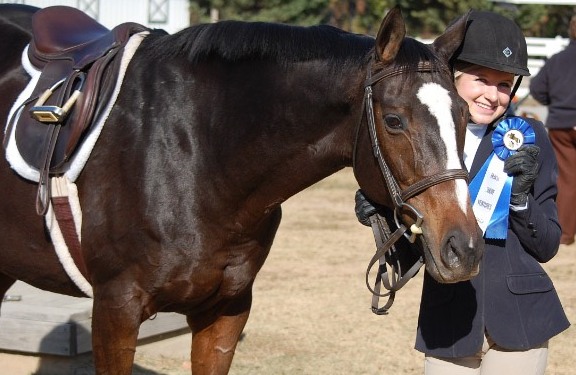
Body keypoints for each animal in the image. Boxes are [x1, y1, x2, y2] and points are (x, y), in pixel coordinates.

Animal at [0, 3, 484, 375]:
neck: (196, 150)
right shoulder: (116, 308)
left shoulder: (226, 310)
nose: (464, 248)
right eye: (394, 120)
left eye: (465, 115)